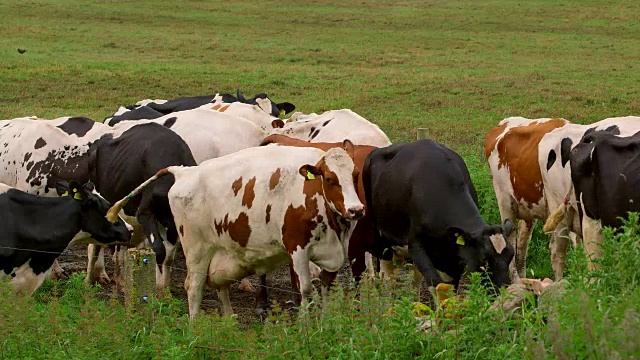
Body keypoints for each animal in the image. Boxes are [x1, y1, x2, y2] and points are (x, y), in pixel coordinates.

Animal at [364, 138, 516, 292]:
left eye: (511, 255)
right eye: (485, 258)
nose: (504, 291)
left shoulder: (454, 255)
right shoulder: (416, 246)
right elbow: (436, 285)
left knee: (413, 280)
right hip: (380, 237)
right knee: (387, 276)